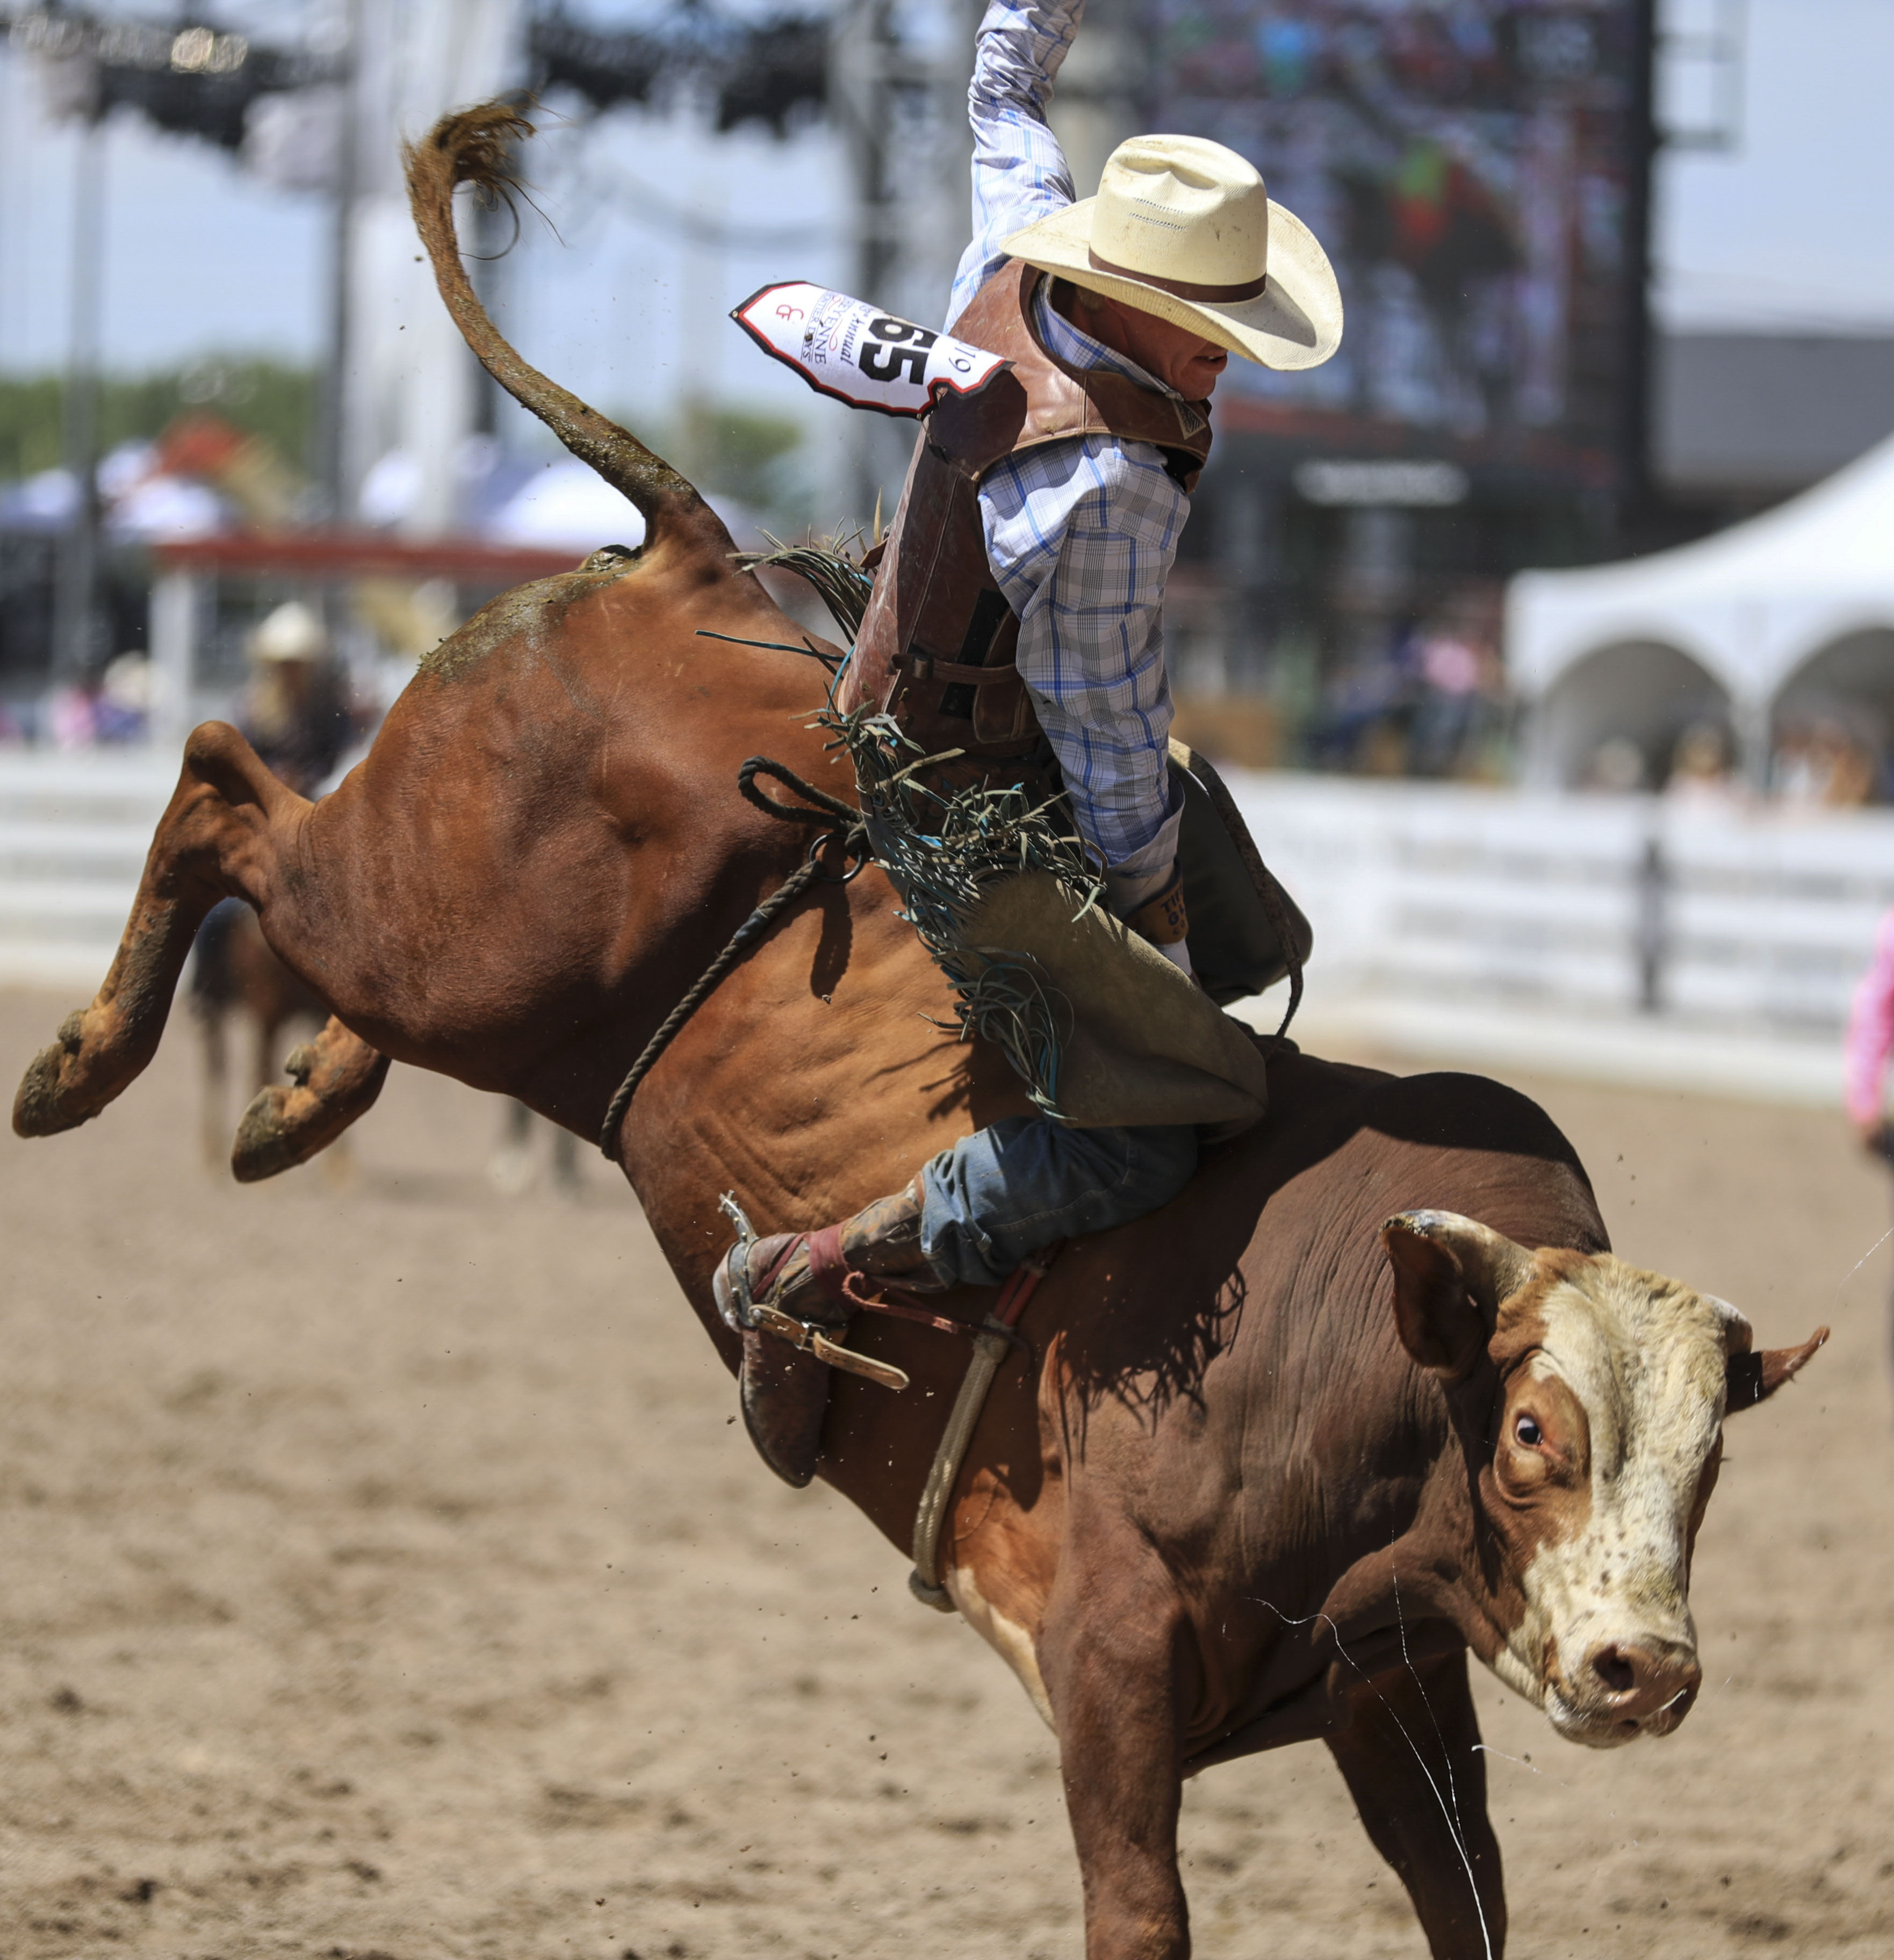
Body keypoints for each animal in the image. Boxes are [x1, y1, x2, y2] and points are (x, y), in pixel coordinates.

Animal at [7, 111, 1827, 1960]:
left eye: (1709, 1464)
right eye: (1530, 1434)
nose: (1641, 1667)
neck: (1347, 1356)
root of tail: (691, 559)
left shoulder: (1389, 1690)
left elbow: (1466, 1899)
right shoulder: (1109, 1661)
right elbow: (1139, 1909)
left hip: (434, 959)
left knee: (285, 890)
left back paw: (298, 1099)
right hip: (422, 916)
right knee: (223, 786)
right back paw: (78, 1066)